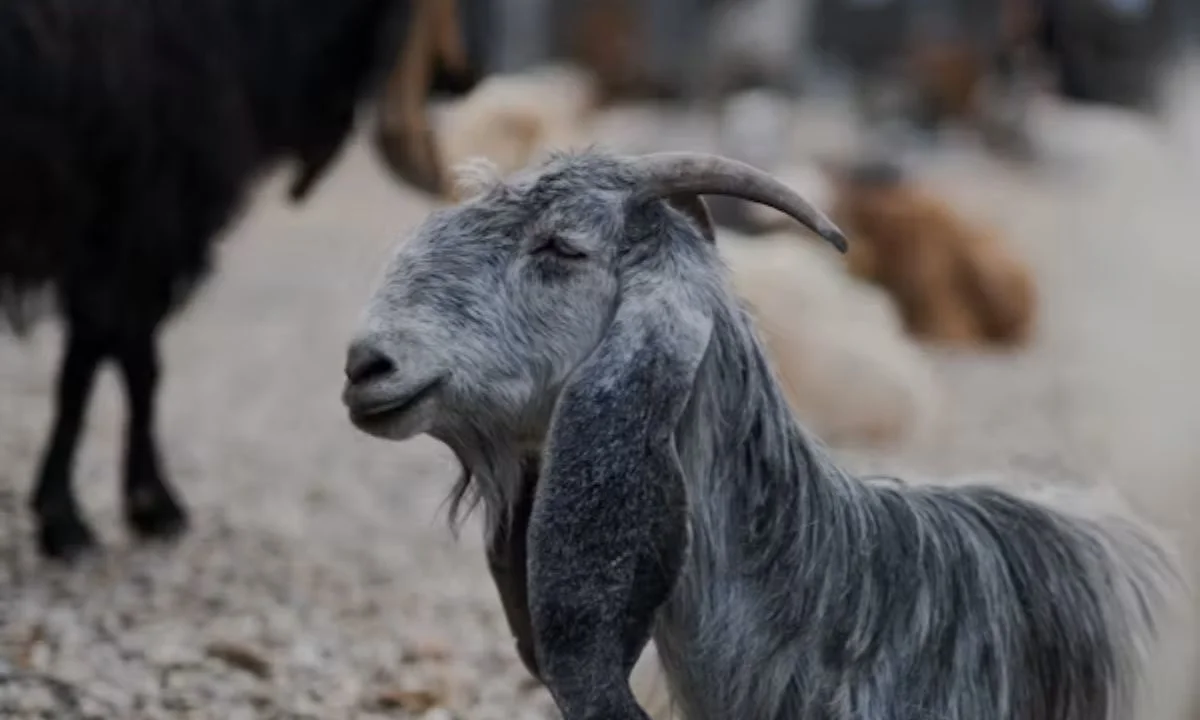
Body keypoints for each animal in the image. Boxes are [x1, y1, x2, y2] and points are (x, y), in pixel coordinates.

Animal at [0, 0, 436, 561]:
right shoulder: (140, 218)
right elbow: (103, 365)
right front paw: (74, 517)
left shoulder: (137, 229)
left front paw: (143, 504)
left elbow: (126, 359)